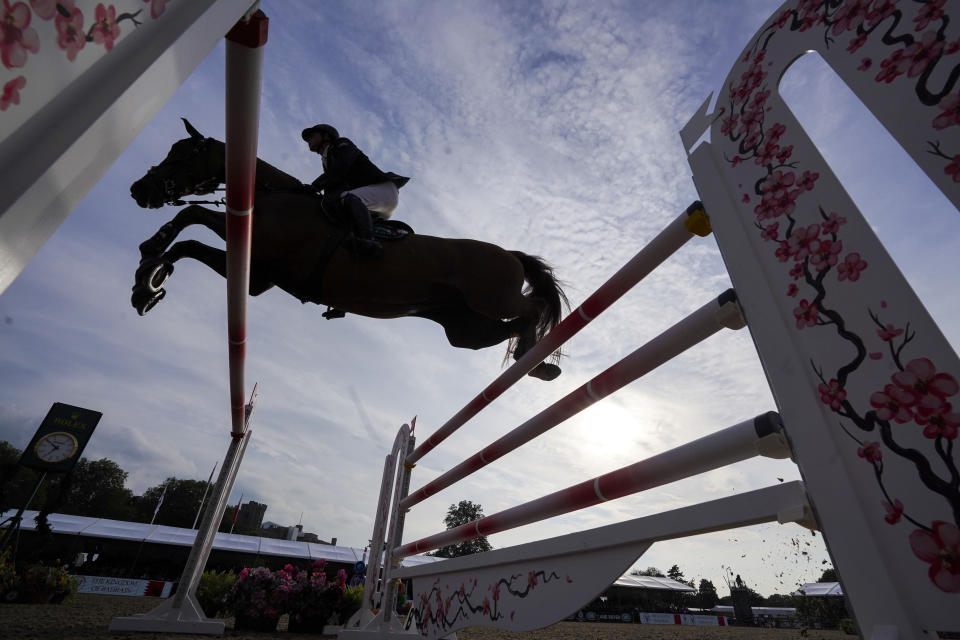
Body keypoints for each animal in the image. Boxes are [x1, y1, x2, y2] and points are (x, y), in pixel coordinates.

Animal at [124, 120, 568, 380]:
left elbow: (193, 216)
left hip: (492, 298)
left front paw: (151, 259)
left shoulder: (261, 261)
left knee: (533, 308)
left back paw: (533, 353)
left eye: (182, 154)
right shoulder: (258, 276)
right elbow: (190, 239)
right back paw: (532, 361)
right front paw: (150, 283)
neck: (273, 196)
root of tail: (510, 254)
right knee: (509, 327)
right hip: (465, 329)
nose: (138, 190)